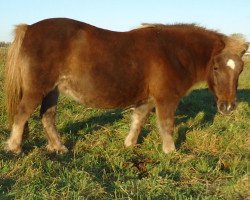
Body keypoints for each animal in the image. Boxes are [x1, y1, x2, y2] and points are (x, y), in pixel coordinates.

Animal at [3, 18, 248, 153]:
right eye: (215, 68)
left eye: (240, 69)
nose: (228, 107)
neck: (173, 52)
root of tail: (29, 28)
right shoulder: (166, 99)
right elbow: (166, 125)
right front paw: (170, 152)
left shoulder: (147, 100)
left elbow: (138, 121)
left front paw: (129, 145)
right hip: (37, 89)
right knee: (23, 114)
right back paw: (14, 147)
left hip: (52, 90)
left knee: (47, 116)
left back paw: (58, 148)